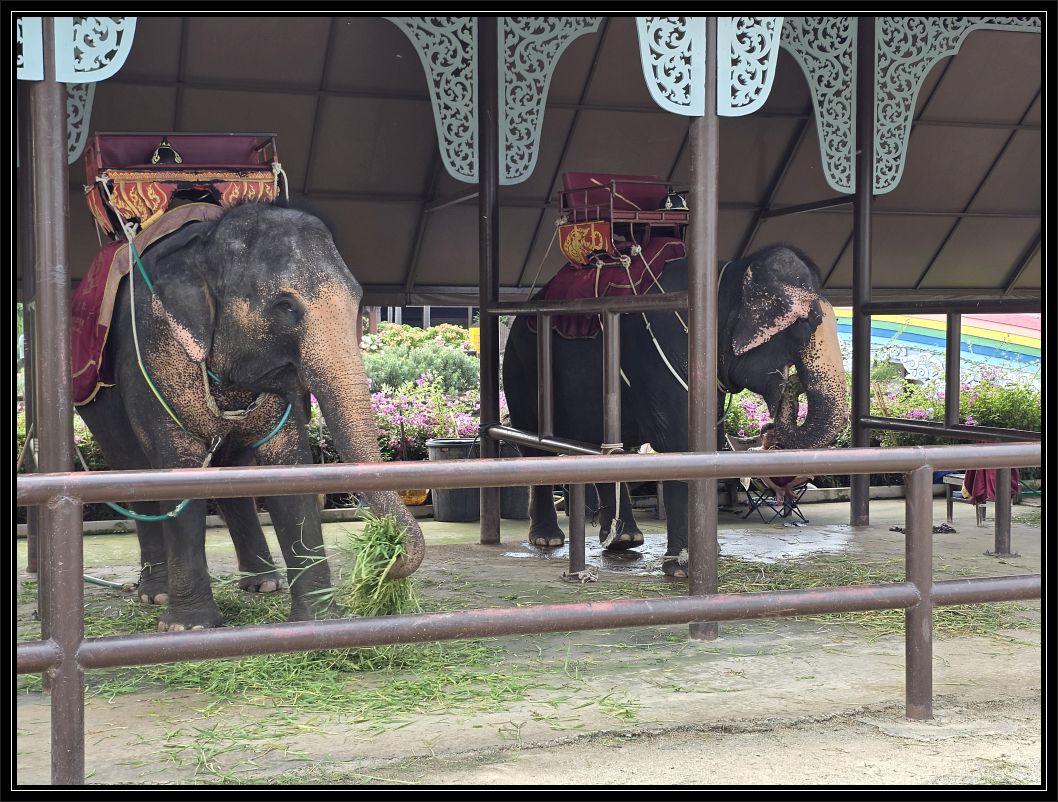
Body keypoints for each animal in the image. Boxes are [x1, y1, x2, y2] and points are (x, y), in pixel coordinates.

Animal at [76, 201, 425, 631]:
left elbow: (288, 466)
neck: (206, 243)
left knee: (234, 474)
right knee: (132, 471)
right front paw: (189, 627)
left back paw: (263, 584)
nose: (385, 562)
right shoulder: (155, 357)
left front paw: (319, 620)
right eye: (285, 306)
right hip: (97, 400)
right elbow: (178, 469)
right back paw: (155, 594)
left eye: (360, 299)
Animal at [501, 245, 849, 577]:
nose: (791, 386)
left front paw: (710, 554)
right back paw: (548, 540)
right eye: (803, 326)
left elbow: (710, 444)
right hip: (518, 365)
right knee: (533, 447)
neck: (726, 275)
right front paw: (683, 568)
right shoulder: (669, 348)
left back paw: (624, 539)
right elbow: (681, 445)